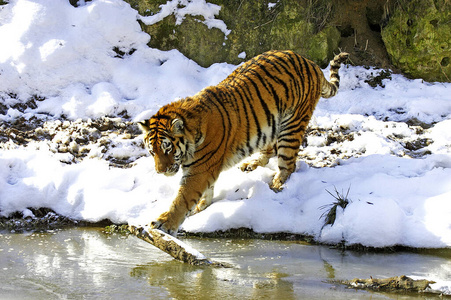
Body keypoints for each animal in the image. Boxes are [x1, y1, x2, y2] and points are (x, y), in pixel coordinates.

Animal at [138, 51, 350, 234]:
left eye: (167, 148)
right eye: (152, 152)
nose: (160, 171)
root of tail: (310, 62)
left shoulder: (200, 169)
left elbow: (182, 198)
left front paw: (164, 223)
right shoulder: (202, 169)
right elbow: (205, 191)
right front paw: (201, 207)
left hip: (292, 125)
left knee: (288, 164)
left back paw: (276, 183)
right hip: (270, 125)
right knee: (270, 149)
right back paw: (252, 164)